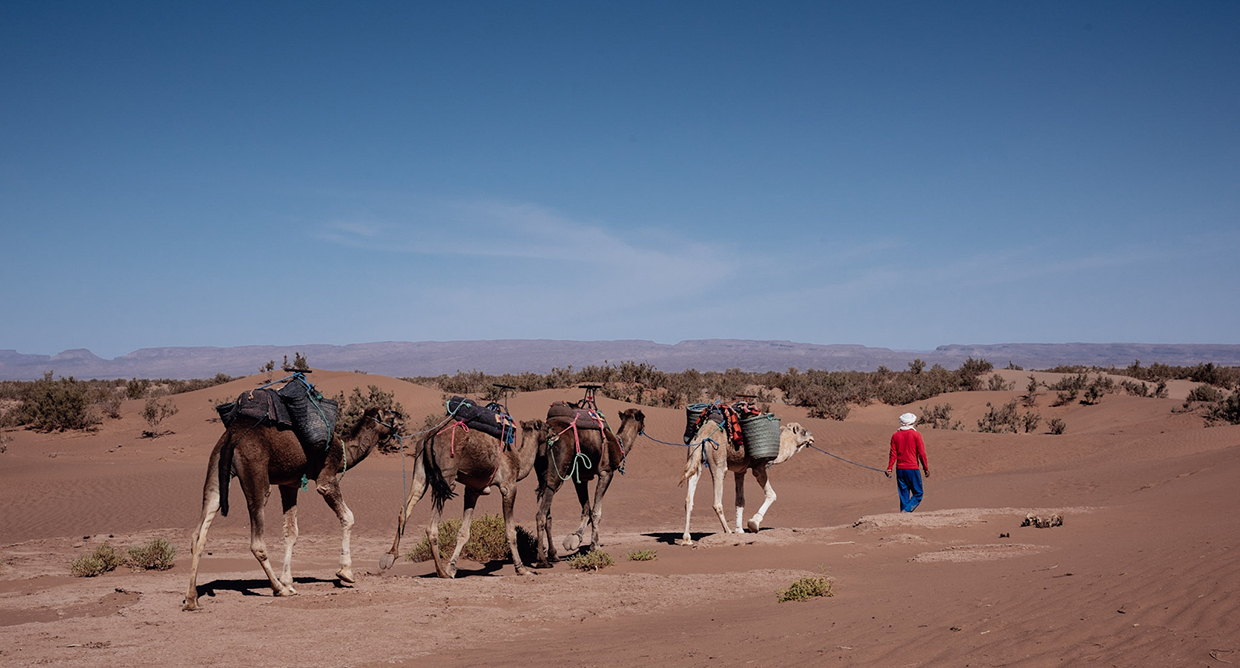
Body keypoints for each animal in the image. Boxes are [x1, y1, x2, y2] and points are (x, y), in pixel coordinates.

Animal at [183, 404, 399, 609]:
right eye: (390, 415)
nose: (400, 420)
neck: (345, 448)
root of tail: (231, 437)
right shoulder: (326, 477)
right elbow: (348, 516)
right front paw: (345, 572)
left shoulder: (289, 484)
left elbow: (291, 532)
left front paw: (288, 580)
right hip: (255, 472)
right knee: (257, 541)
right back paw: (278, 589)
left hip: (216, 468)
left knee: (199, 532)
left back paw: (192, 600)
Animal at [372, 418, 538, 575]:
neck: (519, 462)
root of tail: (428, 438)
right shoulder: (508, 486)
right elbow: (511, 532)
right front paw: (522, 569)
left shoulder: (473, 491)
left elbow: (464, 532)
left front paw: (452, 567)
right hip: (447, 475)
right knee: (431, 527)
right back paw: (440, 571)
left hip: (420, 469)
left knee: (407, 506)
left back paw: (389, 557)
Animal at [535, 404, 649, 567]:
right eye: (643, 417)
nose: (644, 427)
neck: (618, 445)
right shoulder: (606, 472)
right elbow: (596, 512)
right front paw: (595, 546)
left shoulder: (581, 477)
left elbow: (586, 509)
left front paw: (575, 538)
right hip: (555, 474)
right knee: (541, 515)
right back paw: (542, 560)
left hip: (543, 476)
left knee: (548, 516)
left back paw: (553, 555)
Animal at [679, 421, 813, 545]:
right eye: (803, 432)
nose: (812, 437)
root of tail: (703, 435)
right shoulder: (758, 468)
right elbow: (772, 494)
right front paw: (753, 523)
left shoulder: (740, 470)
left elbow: (740, 500)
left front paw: (740, 530)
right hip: (718, 461)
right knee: (716, 501)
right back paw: (728, 532)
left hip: (695, 458)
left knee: (688, 499)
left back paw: (687, 539)